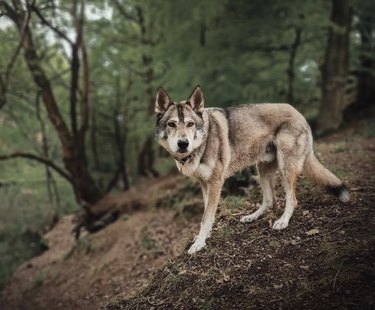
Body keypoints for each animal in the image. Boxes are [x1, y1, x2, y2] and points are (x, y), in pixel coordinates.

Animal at [154, 85, 352, 254]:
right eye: (171, 124)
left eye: (190, 124)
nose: (183, 143)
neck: (202, 142)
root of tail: (298, 112)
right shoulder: (204, 184)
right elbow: (207, 213)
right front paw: (202, 237)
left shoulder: (215, 183)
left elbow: (206, 217)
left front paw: (199, 244)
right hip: (262, 168)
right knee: (270, 200)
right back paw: (252, 217)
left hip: (285, 167)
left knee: (292, 199)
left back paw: (282, 221)